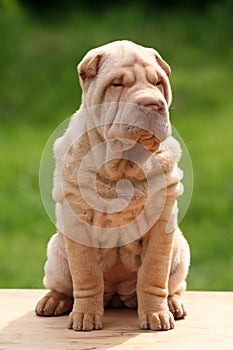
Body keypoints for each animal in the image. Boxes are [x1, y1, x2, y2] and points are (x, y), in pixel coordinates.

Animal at [35, 40, 190, 330]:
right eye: (117, 84)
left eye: (158, 83)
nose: (153, 104)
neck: (123, 166)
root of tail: (118, 296)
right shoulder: (78, 222)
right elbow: (86, 275)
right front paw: (85, 316)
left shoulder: (161, 226)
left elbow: (153, 273)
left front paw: (156, 315)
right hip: (57, 255)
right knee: (63, 285)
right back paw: (53, 301)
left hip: (180, 252)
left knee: (172, 285)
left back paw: (173, 305)